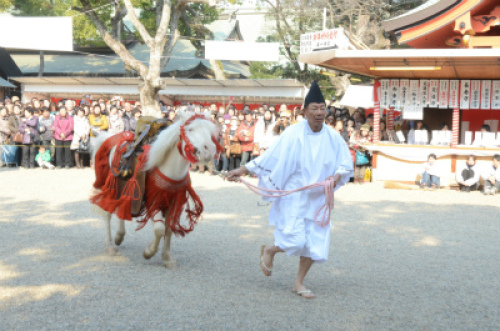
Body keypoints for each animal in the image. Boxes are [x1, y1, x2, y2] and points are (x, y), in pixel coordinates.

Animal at [92, 113, 221, 268]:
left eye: (210, 132)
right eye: (190, 129)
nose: (209, 150)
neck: (169, 168)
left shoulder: (174, 201)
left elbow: (169, 229)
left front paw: (167, 257)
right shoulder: (154, 200)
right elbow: (159, 230)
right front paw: (148, 252)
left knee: (121, 208)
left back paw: (119, 236)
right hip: (112, 188)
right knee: (107, 213)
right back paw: (110, 246)